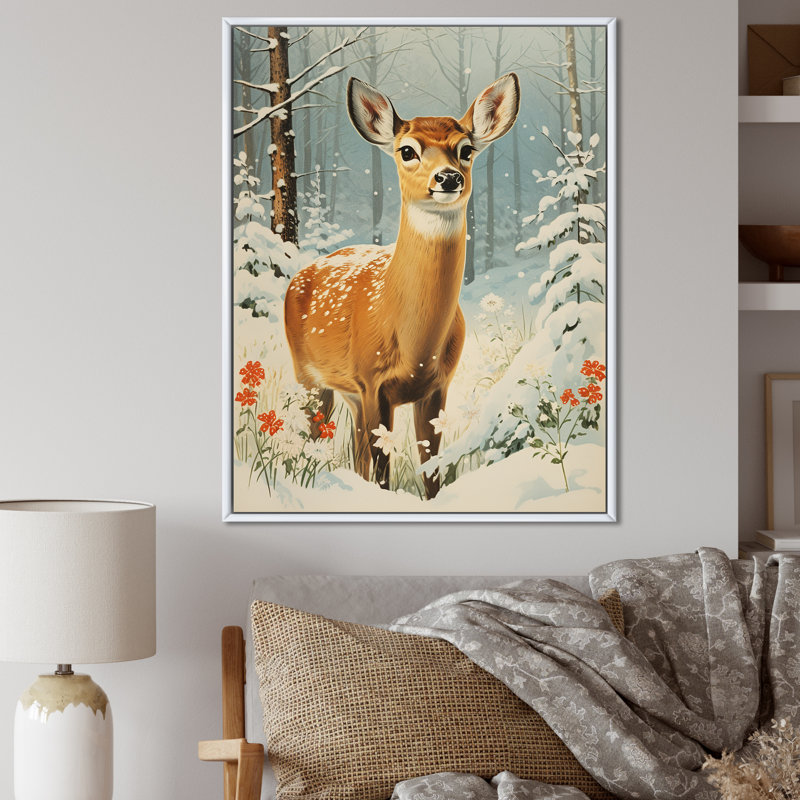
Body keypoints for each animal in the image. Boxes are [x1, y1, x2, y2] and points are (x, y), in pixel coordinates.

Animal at [284, 72, 520, 499]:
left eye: (466, 149)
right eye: (407, 150)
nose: (448, 177)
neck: (415, 347)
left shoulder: (436, 387)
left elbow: (431, 470)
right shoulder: (372, 382)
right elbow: (382, 472)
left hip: (350, 395)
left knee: (354, 452)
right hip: (308, 375)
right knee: (313, 437)